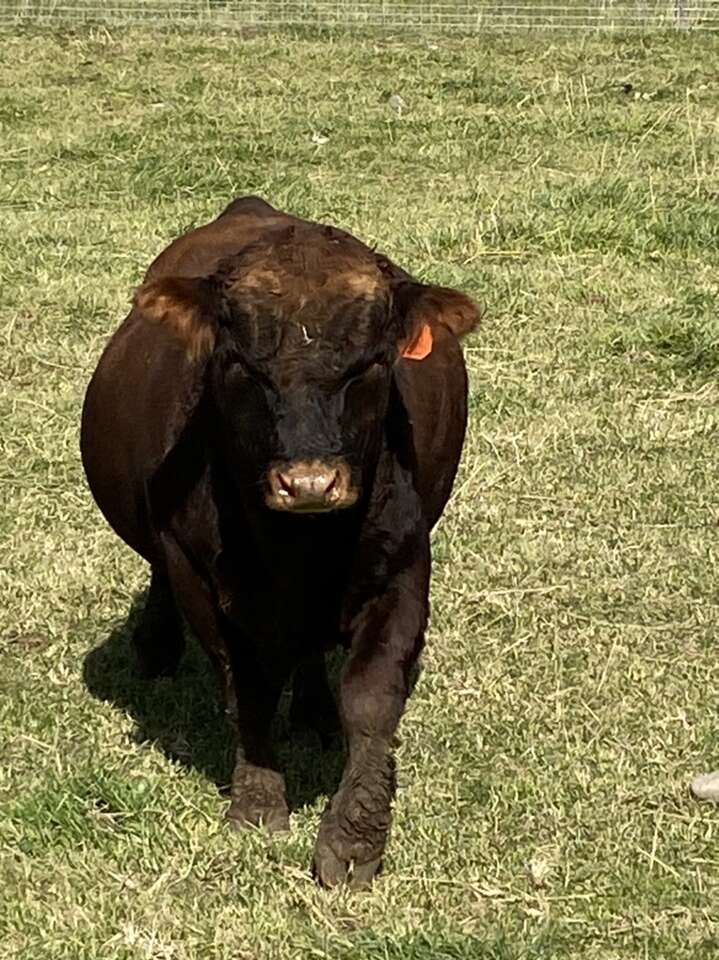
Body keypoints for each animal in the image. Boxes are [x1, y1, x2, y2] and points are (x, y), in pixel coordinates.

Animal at [80, 196, 480, 888]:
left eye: (371, 364)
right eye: (242, 364)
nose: (310, 482)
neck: (299, 552)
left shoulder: (402, 567)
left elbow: (371, 698)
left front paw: (354, 840)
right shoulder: (198, 573)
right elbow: (247, 688)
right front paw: (259, 801)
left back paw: (315, 716)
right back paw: (155, 648)